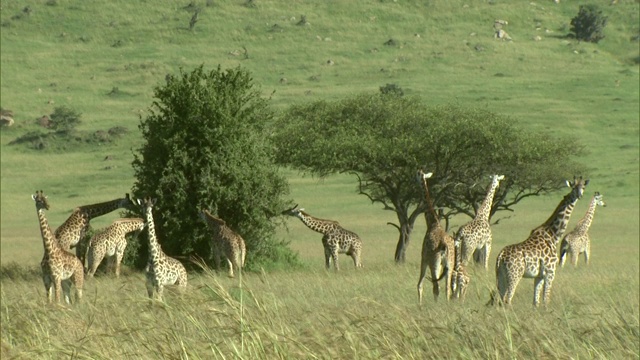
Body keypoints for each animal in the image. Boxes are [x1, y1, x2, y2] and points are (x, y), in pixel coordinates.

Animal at [418, 170, 458, 306]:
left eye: (417, 174)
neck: (432, 222)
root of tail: (444, 245)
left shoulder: (424, 258)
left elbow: (419, 284)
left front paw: (419, 306)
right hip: (449, 264)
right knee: (447, 288)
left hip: (434, 262)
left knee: (436, 287)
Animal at [496, 176, 592, 306]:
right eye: (573, 187)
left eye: (583, 187)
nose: (579, 195)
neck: (554, 234)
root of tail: (500, 256)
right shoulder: (550, 272)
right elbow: (546, 300)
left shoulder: (539, 276)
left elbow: (536, 302)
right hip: (514, 275)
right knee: (507, 299)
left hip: (501, 275)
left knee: (500, 299)